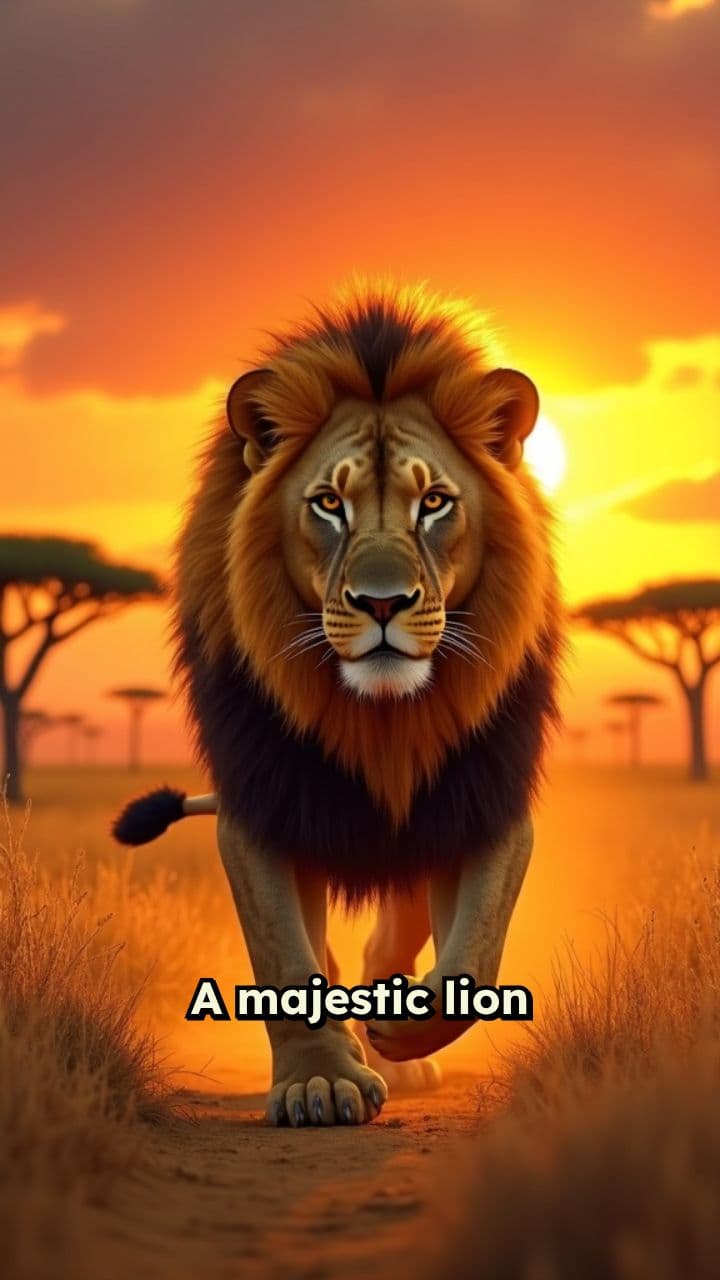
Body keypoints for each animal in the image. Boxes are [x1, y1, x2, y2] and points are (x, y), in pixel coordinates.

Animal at [113, 283, 563, 1127]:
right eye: (328, 504)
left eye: (435, 502)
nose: (382, 602)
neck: (379, 720)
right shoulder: (262, 803)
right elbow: (287, 957)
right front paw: (320, 1079)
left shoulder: (482, 798)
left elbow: (477, 953)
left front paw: (400, 1027)